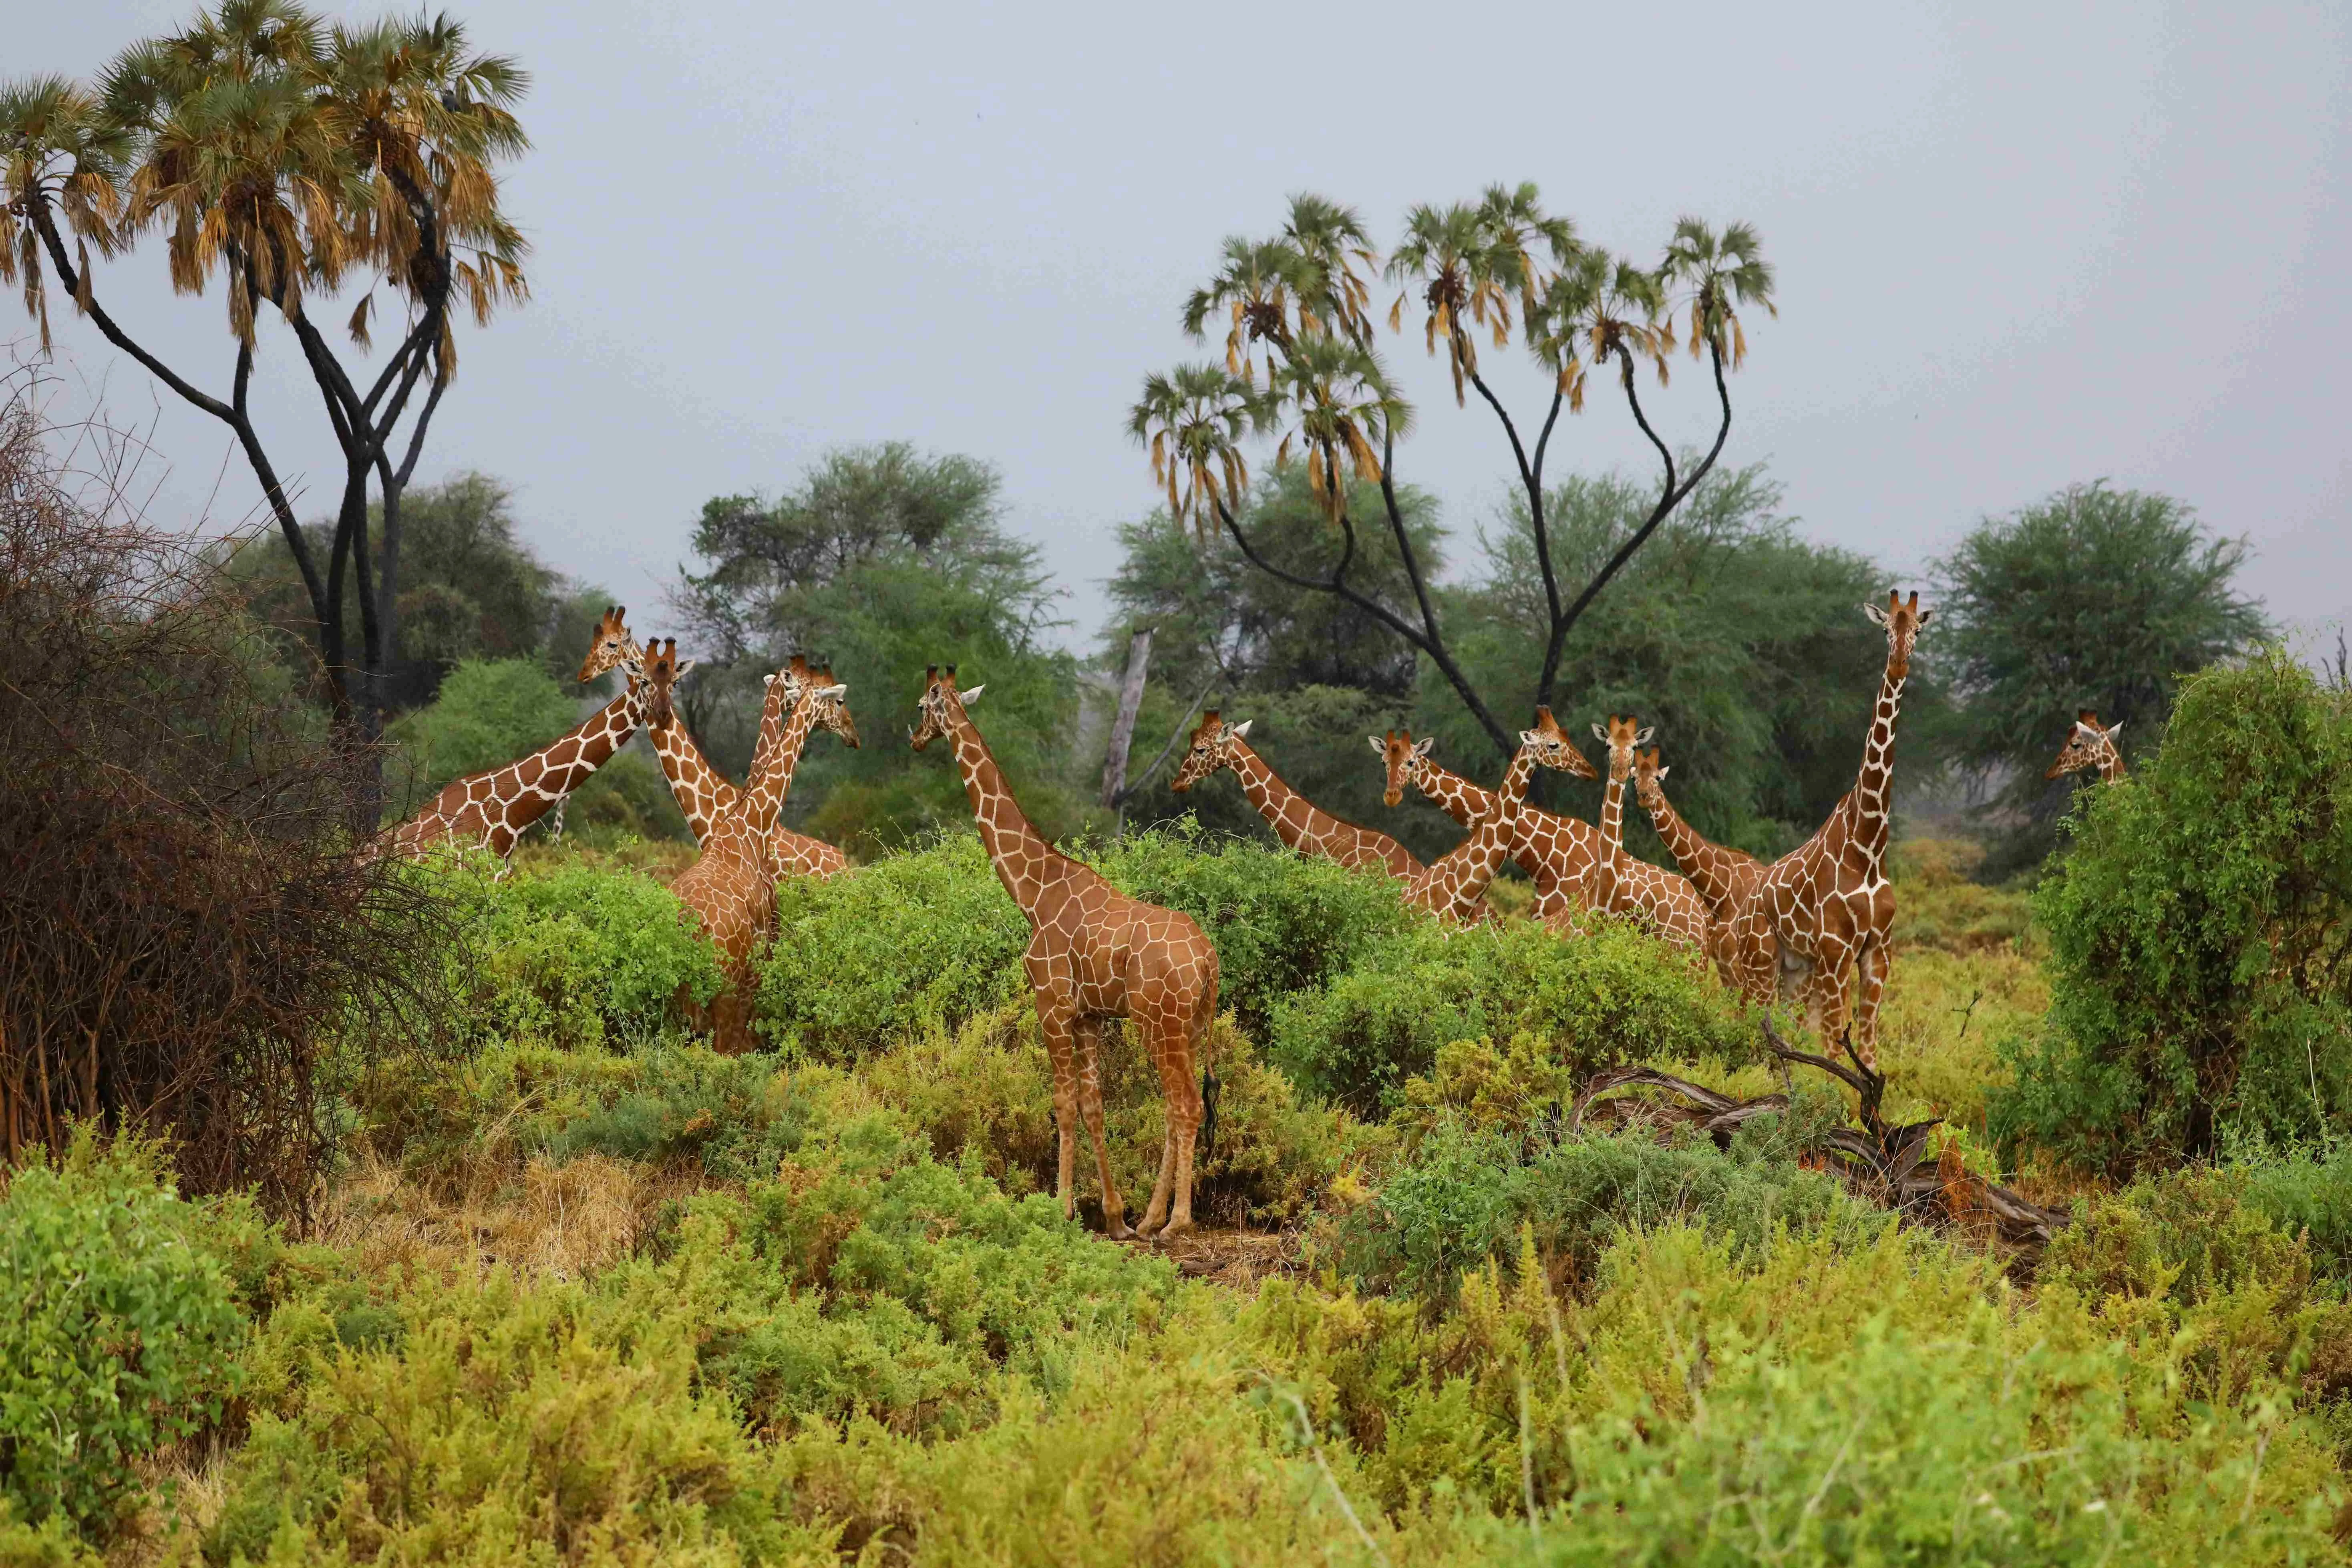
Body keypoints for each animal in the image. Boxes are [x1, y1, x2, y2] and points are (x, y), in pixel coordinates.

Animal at [665, 651, 852, 1053]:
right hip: (722, 987)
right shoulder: (758, 968)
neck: (751, 824)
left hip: (674, 997)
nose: (852, 734)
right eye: (837, 700)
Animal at [915, 667, 1220, 1239]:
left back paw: (1176, 1223)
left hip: (1159, 1023)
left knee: (1186, 1106)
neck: (1032, 893)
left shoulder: (1051, 1005)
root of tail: (1208, 961)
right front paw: (1114, 1216)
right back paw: (1150, 1218)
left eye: (924, 705)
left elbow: (1061, 1103)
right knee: (1175, 1109)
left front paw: (1060, 1209)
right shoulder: (1088, 1017)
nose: (914, 738)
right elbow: (1093, 1105)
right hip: (1192, 1025)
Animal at [1633, 745, 1763, 981]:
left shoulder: (1741, 967)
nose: (1644, 797)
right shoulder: (1725, 967)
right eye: (1635, 777)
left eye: (1658, 777)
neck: (1721, 892)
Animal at [1729, 591, 1933, 1068]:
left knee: (1782, 1035)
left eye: (1917, 629)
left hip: (1794, 969)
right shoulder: (1835, 950)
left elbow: (1868, 1053)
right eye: (1885, 628)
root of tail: (1743, 909)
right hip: (1761, 959)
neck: (1868, 846)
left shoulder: (1876, 953)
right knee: (1749, 1026)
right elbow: (1833, 1048)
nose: (1898, 665)